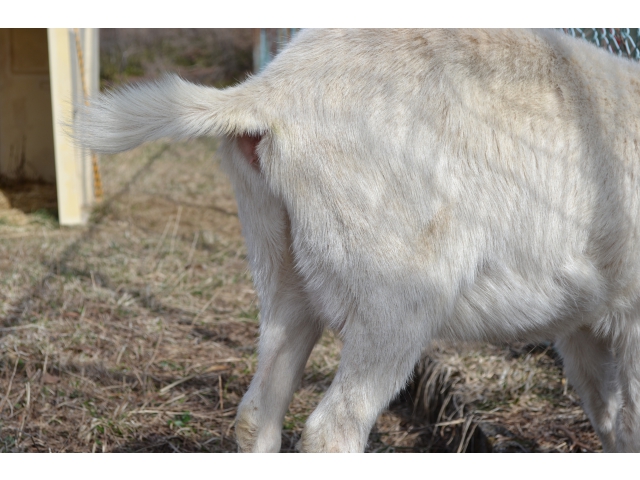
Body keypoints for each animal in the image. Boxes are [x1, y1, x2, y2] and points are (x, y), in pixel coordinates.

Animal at [74, 29, 640, 450]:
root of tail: (271, 93)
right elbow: (629, 422)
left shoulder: (586, 324)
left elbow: (611, 419)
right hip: (399, 292)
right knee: (332, 431)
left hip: (282, 267)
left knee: (257, 412)